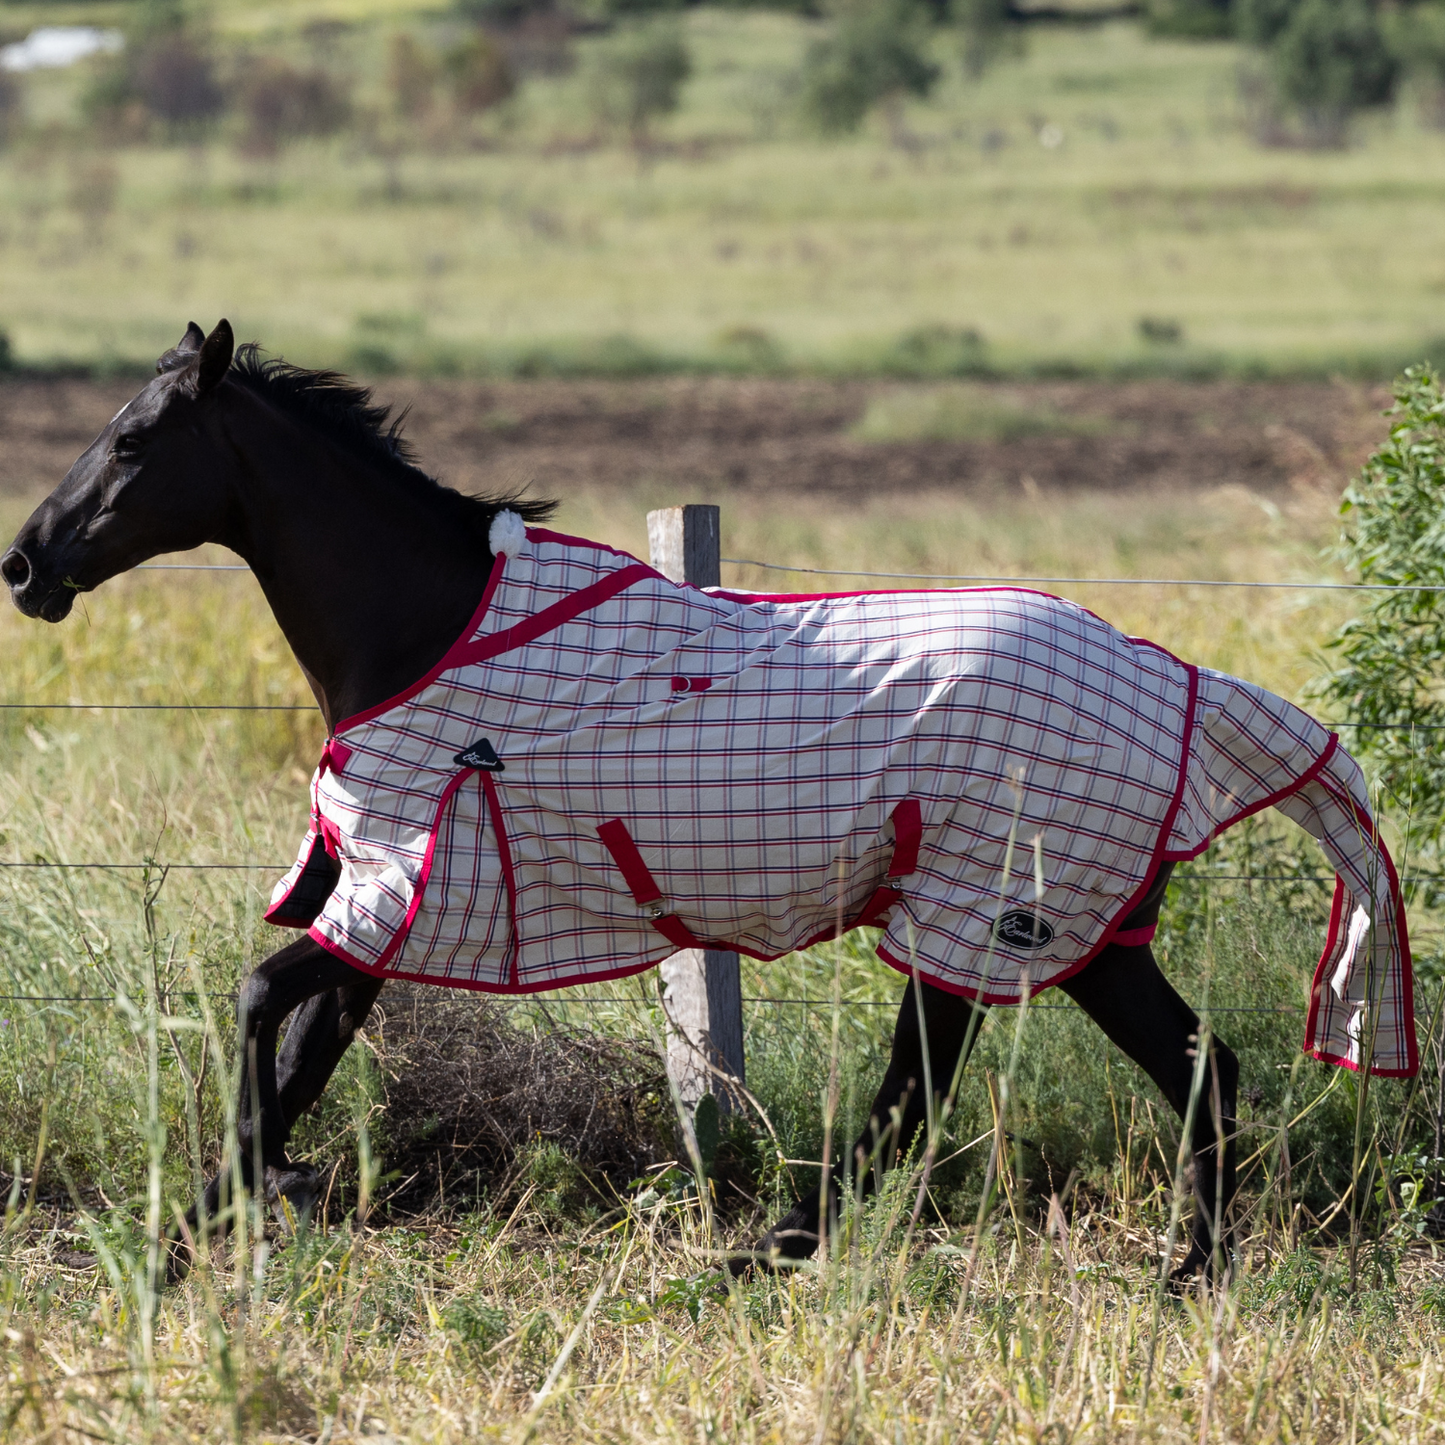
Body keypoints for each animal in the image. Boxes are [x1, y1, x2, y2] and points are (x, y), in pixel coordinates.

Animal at [0, 322, 1416, 1283]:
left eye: (132, 439)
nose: (25, 564)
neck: (428, 633)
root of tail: (1175, 676)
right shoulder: (384, 912)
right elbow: (297, 1051)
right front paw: (197, 1228)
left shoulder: (397, 892)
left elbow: (256, 1005)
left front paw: (236, 1204)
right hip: (1073, 934)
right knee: (1188, 1073)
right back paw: (1180, 1270)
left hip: (985, 920)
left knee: (925, 1101)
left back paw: (775, 1252)